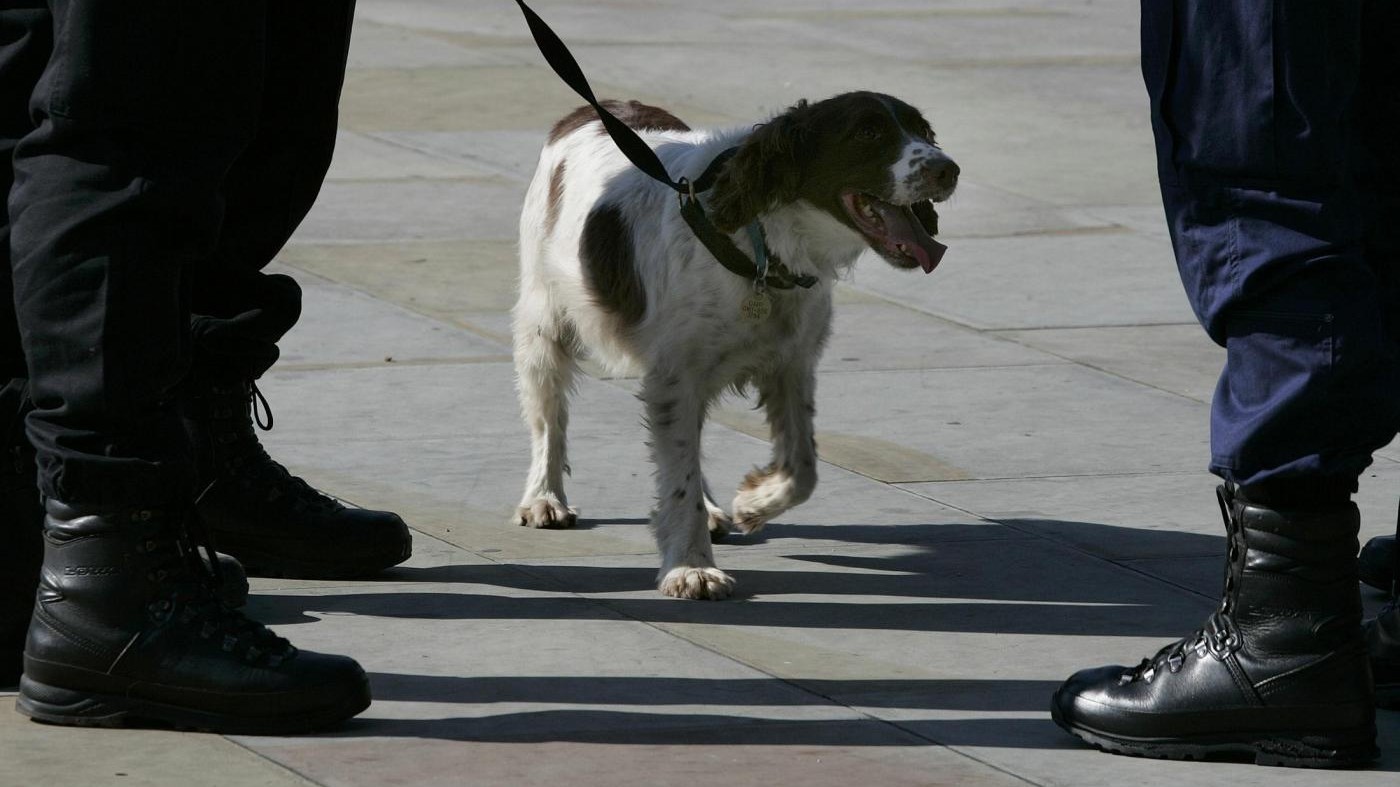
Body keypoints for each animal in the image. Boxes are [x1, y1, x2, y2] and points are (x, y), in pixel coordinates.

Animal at [509, 91, 957, 596]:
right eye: (867, 132)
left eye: (923, 131)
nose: (948, 170)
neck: (762, 248)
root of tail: (600, 104)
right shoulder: (676, 376)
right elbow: (678, 480)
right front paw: (691, 567)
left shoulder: (791, 366)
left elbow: (803, 468)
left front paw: (753, 503)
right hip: (542, 325)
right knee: (550, 421)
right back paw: (544, 497)